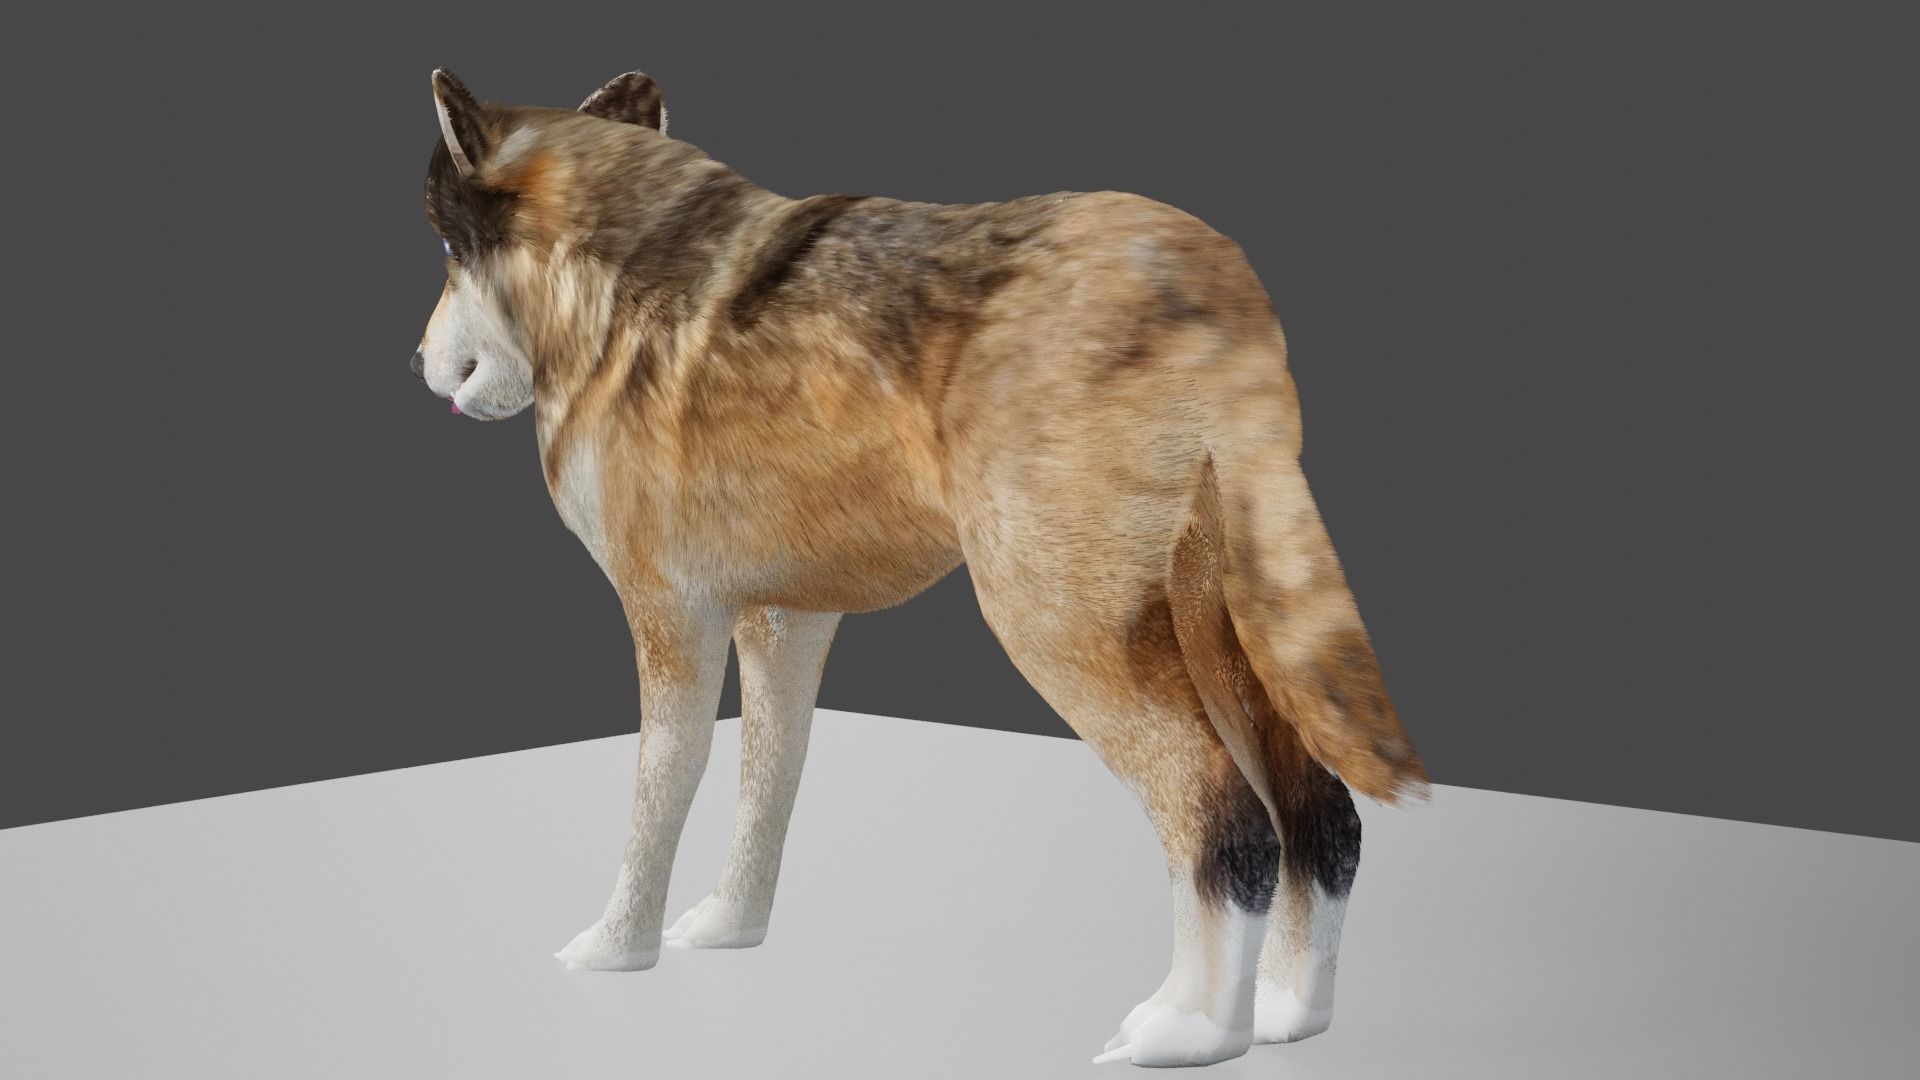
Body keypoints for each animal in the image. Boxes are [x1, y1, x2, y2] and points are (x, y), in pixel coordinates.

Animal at [411, 68, 1426, 1067]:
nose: (419, 361)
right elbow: (768, 780)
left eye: (451, 249)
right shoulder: (783, 621)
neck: (613, 289)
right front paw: (731, 928)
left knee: (1229, 821)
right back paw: (1289, 1013)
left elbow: (662, 791)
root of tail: (1211, 273)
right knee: (1324, 817)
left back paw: (1191, 1031)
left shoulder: (671, 618)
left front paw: (616, 949)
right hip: (1225, 632)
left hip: (1067, 637)